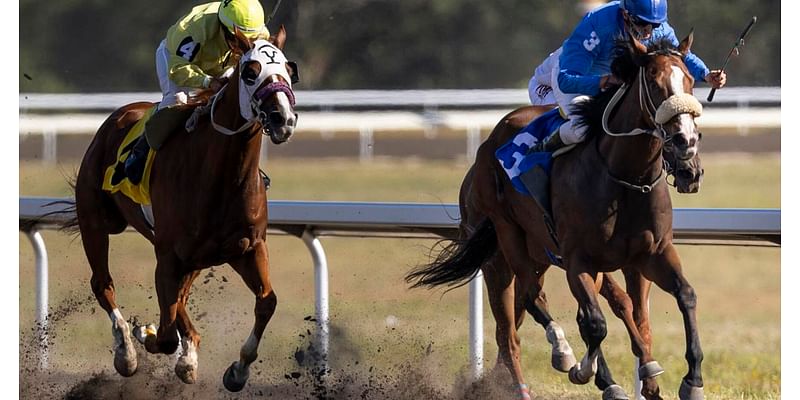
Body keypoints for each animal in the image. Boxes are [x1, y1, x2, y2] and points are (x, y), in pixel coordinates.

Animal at [62, 26, 298, 392]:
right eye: (250, 71)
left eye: (289, 69)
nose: (283, 119)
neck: (220, 176)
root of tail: (119, 115)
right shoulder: (170, 254)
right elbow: (165, 332)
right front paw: (145, 337)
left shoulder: (247, 248)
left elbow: (267, 302)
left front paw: (237, 370)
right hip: (96, 222)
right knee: (103, 284)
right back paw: (127, 352)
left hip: (193, 257)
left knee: (179, 300)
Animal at [412, 34, 708, 400]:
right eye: (653, 83)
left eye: (691, 81)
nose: (686, 142)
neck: (623, 178)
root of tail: (485, 150)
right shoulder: (579, 260)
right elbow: (594, 323)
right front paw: (586, 370)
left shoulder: (651, 253)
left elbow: (684, 295)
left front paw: (689, 379)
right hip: (504, 245)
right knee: (518, 318)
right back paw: (553, 361)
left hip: (541, 256)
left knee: (532, 311)